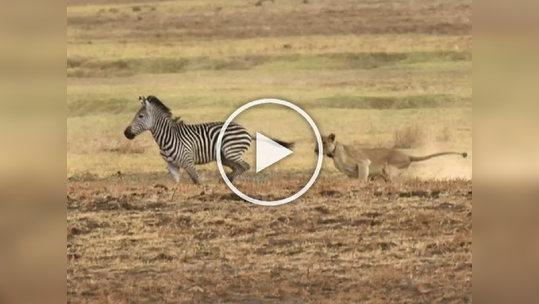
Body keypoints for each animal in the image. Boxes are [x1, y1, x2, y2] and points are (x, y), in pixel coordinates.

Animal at [124, 96, 296, 184]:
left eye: (140, 116)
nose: (126, 133)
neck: (167, 137)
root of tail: (246, 131)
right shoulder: (172, 166)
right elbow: (177, 184)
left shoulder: (188, 162)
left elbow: (197, 181)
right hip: (225, 157)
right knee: (238, 167)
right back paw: (227, 180)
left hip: (230, 152)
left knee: (245, 166)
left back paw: (227, 180)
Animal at [316, 133, 468, 180]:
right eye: (317, 142)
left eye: (324, 142)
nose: (315, 150)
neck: (335, 154)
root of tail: (407, 155)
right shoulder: (350, 174)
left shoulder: (364, 162)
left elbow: (362, 179)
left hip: (390, 170)